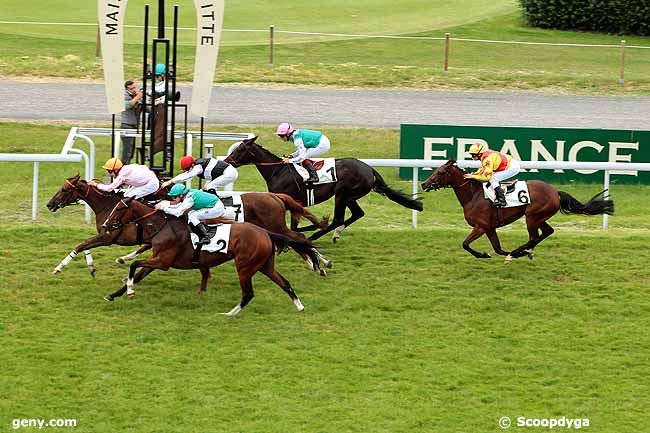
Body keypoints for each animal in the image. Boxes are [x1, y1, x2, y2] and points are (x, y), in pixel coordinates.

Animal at [45, 174, 330, 276]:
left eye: (64, 189)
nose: (49, 204)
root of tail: (275, 196)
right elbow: (86, 247)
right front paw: (94, 266)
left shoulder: (110, 237)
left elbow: (82, 245)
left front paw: (59, 267)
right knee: (295, 240)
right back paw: (316, 262)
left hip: (275, 224)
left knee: (298, 239)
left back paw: (320, 263)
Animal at [99, 197, 318, 316]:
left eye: (119, 208)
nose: (105, 225)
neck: (163, 226)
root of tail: (266, 233)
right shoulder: (157, 260)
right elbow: (137, 272)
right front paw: (113, 294)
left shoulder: (163, 262)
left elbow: (134, 265)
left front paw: (129, 290)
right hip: (265, 265)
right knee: (285, 283)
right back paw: (299, 306)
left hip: (245, 267)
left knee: (248, 293)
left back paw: (229, 314)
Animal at [225, 137, 422, 241]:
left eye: (239, 150)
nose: (227, 160)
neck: (278, 171)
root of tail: (370, 169)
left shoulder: (292, 201)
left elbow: (292, 225)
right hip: (350, 196)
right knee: (357, 214)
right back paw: (334, 234)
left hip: (342, 193)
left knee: (338, 219)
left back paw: (316, 234)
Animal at [420, 159, 612, 260]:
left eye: (440, 172)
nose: (424, 184)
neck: (473, 197)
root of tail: (555, 192)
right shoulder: (489, 228)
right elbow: (497, 248)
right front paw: (498, 254)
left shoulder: (481, 226)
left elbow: (465, 244)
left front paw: (487, 254)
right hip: (539, 217)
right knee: (547, 232)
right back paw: (523, 251)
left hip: (532, 216)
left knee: (534, 236)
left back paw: (519, 251)